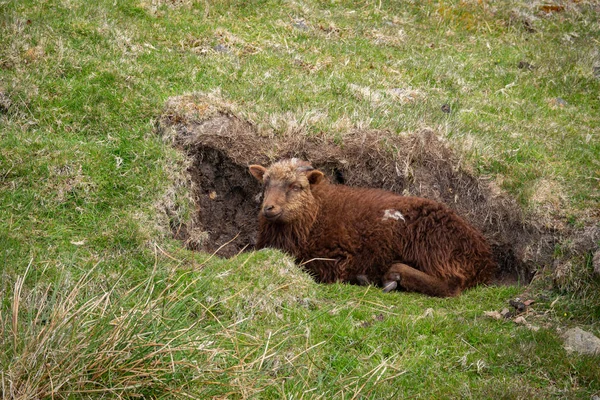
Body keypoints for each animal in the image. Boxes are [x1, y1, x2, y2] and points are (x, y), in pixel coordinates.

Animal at [248, 159, 496, 296]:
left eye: (296, 186)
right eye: (265, 183)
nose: (268, 208)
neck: (316, 214)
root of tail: (483, 257)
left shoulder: (334, 259)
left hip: (432, 245)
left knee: (452, 285)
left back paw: (393, 275)